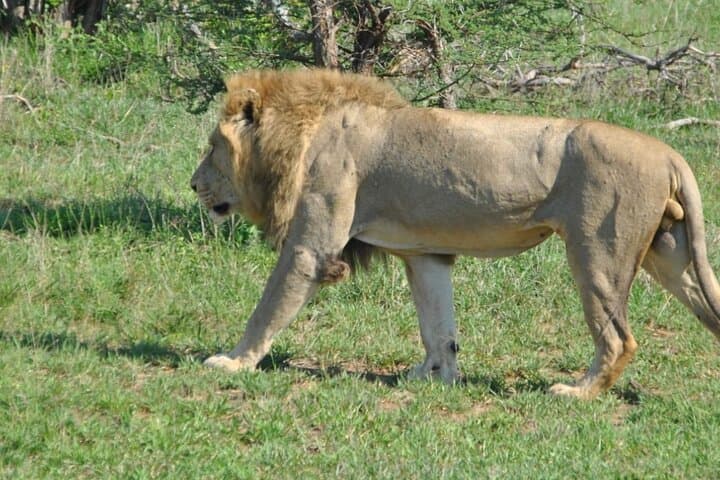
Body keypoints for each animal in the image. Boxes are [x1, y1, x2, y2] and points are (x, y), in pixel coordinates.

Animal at [190, 68, 720, 399]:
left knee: (618, 338)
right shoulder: (425, 254)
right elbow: (437, 326)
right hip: (672, 254)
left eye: (213, 146)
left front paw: (233, 362)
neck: (303, 131)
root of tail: (668, 152)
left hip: (596, 251)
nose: (193, 184)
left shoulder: (312, 245)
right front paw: (432, 376)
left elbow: (268, 307)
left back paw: (576, 392)